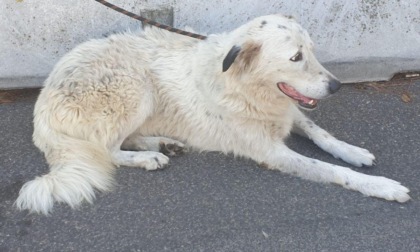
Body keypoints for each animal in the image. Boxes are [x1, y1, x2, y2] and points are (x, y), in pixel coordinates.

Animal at [16, 14, 410, 215]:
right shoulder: (271, 152)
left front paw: (353, 151)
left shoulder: (289, 112)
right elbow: (332, 171)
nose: (336, 86)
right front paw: (382, 186)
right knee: (109, 149)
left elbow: (322, 135)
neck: (243, 85)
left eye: (312, 51)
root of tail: (43, 103)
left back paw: (164, 143)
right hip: (136, 88)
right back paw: (149, 157)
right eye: (296, 57)